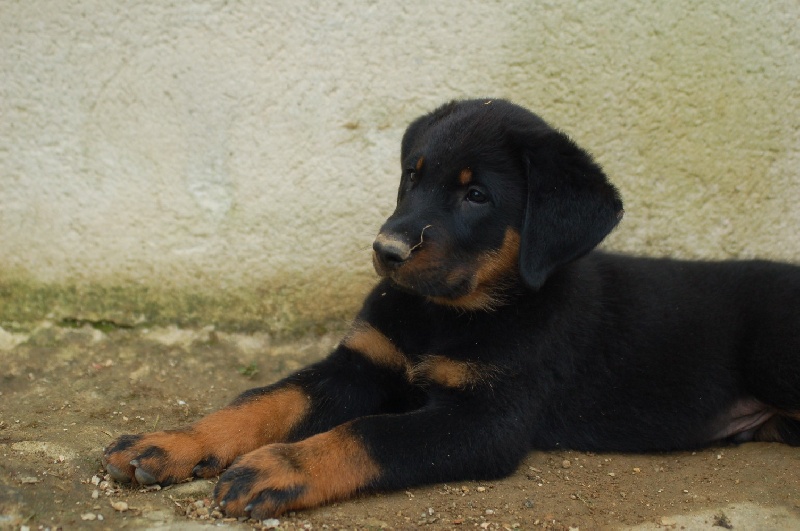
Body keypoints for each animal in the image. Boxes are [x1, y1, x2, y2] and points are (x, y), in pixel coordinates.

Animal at [101, 100, 800, 520]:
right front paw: (175, 442)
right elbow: (266, 400)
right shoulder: (360, 363)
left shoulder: (486, 419)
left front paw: (279, 466)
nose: (385, 250)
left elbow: (369, 432)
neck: (445, 313)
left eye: (477, 196)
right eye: (413, 175)